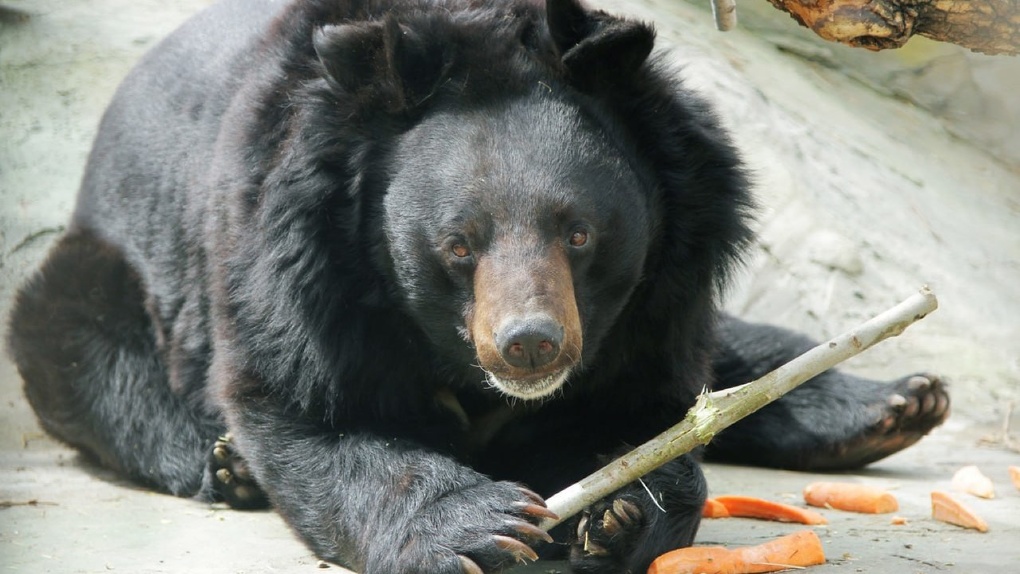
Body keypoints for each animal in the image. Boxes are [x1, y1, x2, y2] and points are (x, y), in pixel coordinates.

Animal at [5, 0, 946, 570]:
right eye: (459, 246)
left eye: (578, 233)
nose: (531, 344)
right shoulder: (290, 254)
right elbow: (311, 413)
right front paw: (481, 526)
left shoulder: (664, 287)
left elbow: (655, 414)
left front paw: (614, 511)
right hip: (103, 270)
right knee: (97, 362)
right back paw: (225, 465)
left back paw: (898, 403)